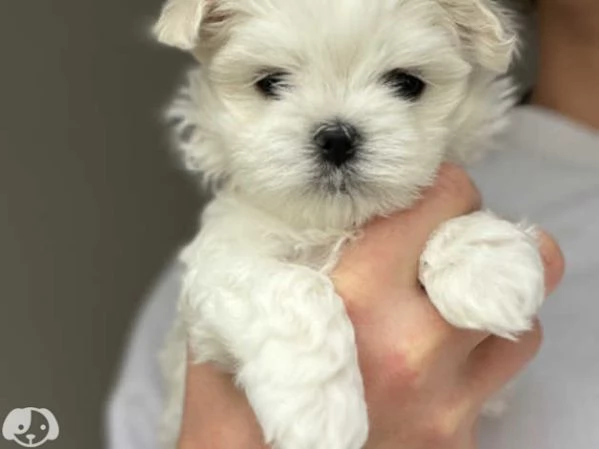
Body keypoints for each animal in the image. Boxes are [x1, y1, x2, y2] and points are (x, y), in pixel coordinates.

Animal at [152, 1, 548, 446]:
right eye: (271, 82)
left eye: (407, 83)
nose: (337, 138)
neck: (333, 225)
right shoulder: (222, 263)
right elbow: (294, 287)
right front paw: (318, 411)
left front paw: (488, 270)